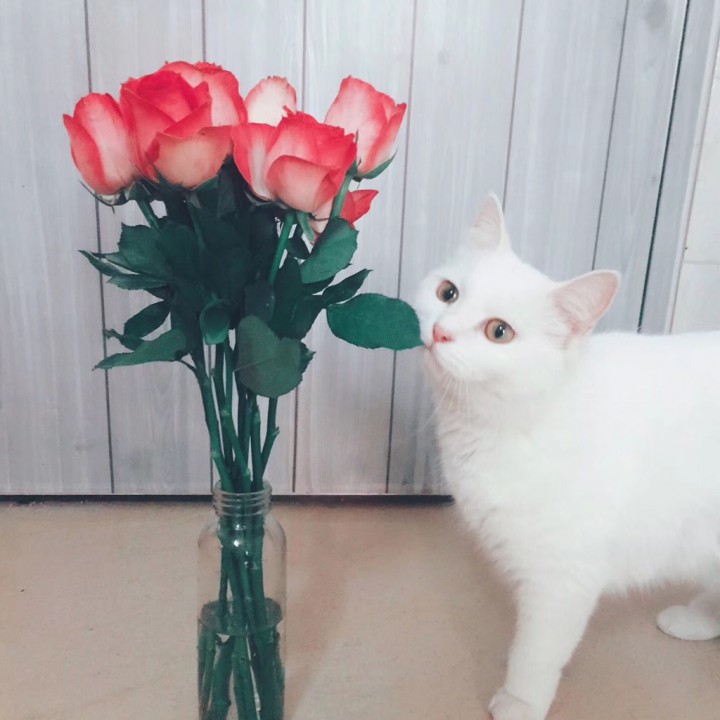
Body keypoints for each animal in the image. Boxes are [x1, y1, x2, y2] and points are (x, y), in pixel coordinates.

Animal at [415, 194, 720, 720]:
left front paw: (519, 700)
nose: (441, 330)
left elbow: (538, 652)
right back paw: (694, 620)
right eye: (447, 293)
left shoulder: (562, 578)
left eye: (499, 332)